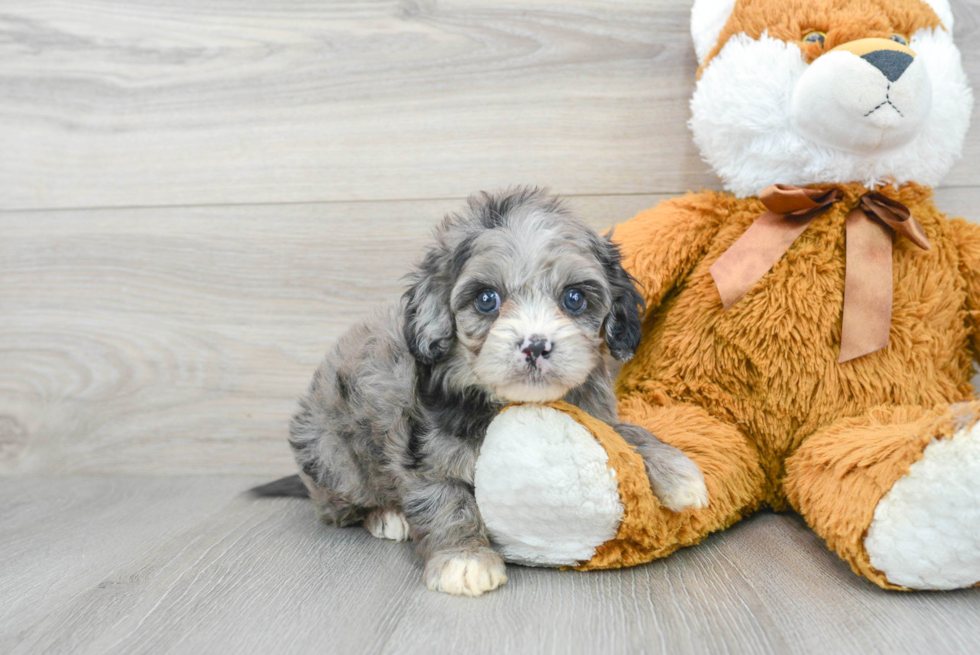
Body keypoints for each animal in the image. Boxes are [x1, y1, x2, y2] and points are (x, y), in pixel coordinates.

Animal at [288, 187, 708, 596]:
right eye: (487, 299)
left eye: (574, 298)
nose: (536, 346)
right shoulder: (425, 446)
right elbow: (445, 499)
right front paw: (464, 559)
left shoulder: (593, 413)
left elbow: (628, 431)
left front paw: (677, 472)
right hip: (333, 459)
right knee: (338, 506)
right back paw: (386, 515)